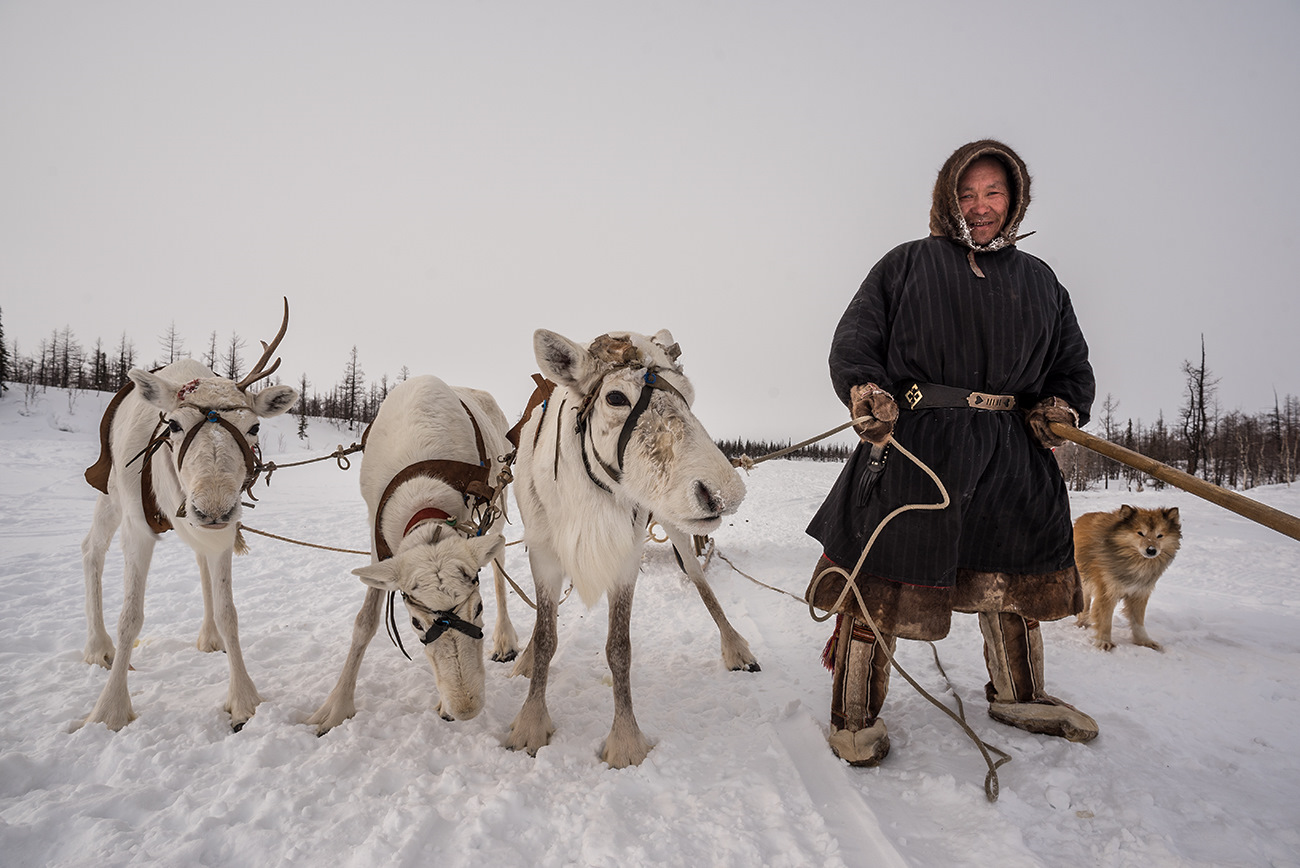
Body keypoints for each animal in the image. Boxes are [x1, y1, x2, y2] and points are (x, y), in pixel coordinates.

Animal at [1076, 501, 1180, 649]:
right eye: (1140, 533)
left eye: (1160, 535)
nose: (1151, 550)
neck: (1136, 562)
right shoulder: (1107, 592)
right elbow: (1105, 620)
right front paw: (1104, 641)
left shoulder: (1140, 593)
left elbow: (1138, 622)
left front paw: (1144, 641)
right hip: (1085, 581)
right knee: (1085, 603)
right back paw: (1082, 622)